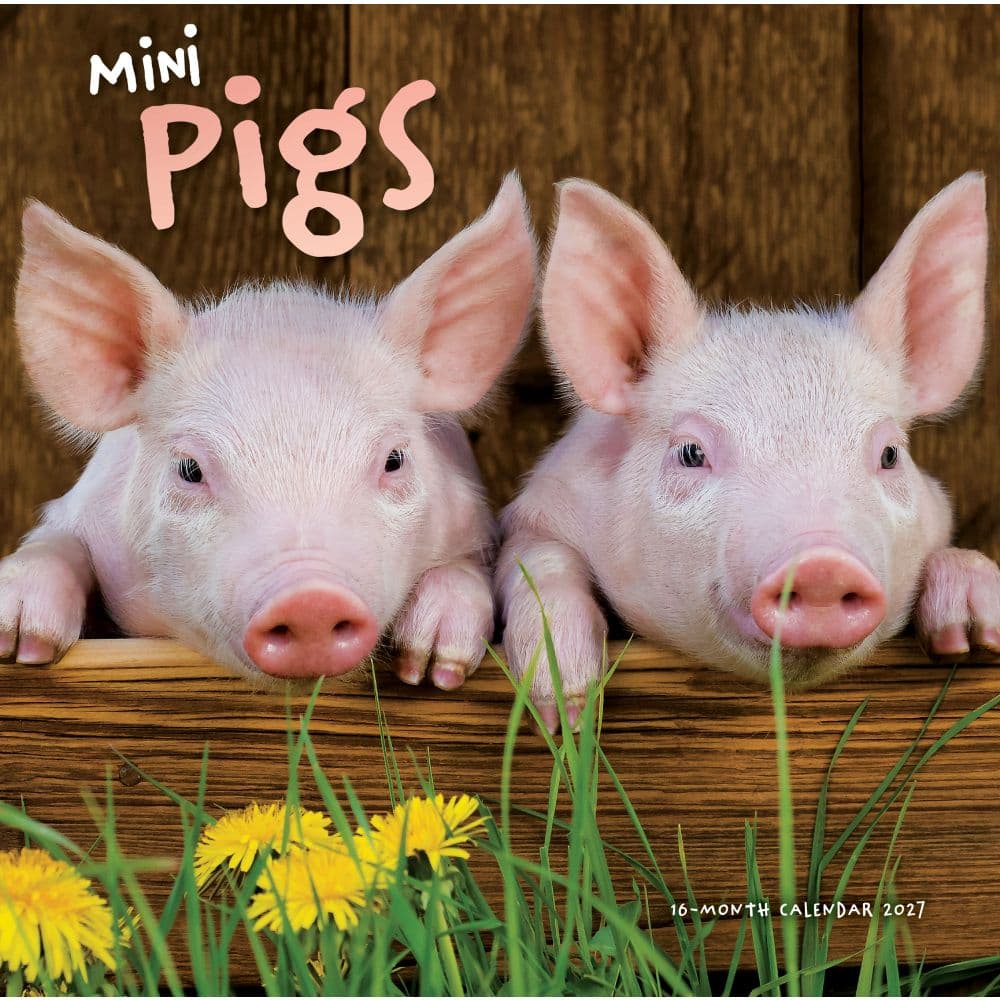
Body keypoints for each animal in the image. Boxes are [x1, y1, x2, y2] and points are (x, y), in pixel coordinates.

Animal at [0, 174, 537, 689]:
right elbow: (55, 543)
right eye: (190, 469)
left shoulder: (473, 523)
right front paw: (21, 644)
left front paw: (432, 668)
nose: (311, 601)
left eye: (394, 460)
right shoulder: (80, 510)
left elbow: (465, 568)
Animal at [497, 173, 1000, 731]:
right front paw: (566, 710)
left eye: (890, 454)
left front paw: (972, 634)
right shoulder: (537, 512)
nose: (822, 563)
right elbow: (537, 560)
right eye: (691, 453)